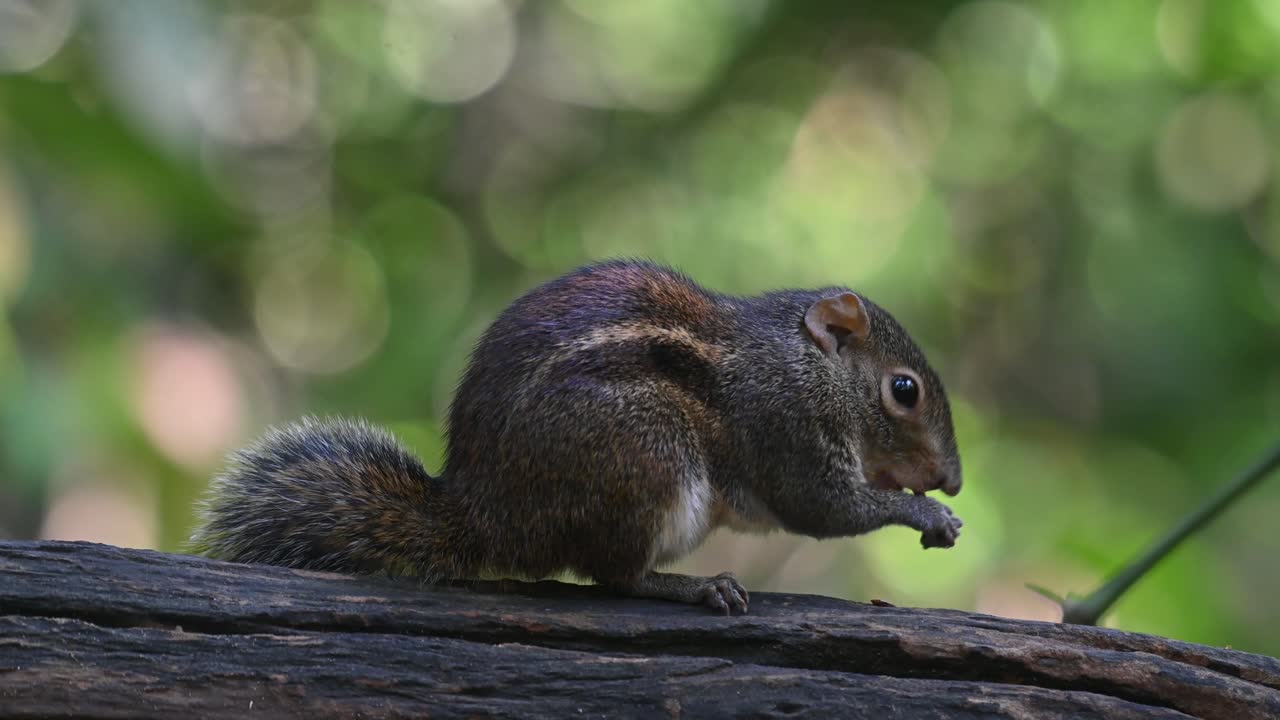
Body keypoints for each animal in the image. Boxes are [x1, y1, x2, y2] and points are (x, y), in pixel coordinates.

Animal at [189, 260, 963, 614]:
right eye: (904, 391)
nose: (952, 479)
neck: (803, 362)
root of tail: (484, 515)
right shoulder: (787, 425)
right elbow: (825, 508)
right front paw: (926, 513)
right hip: (647, 461)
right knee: (615, 575)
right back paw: (693, 586)